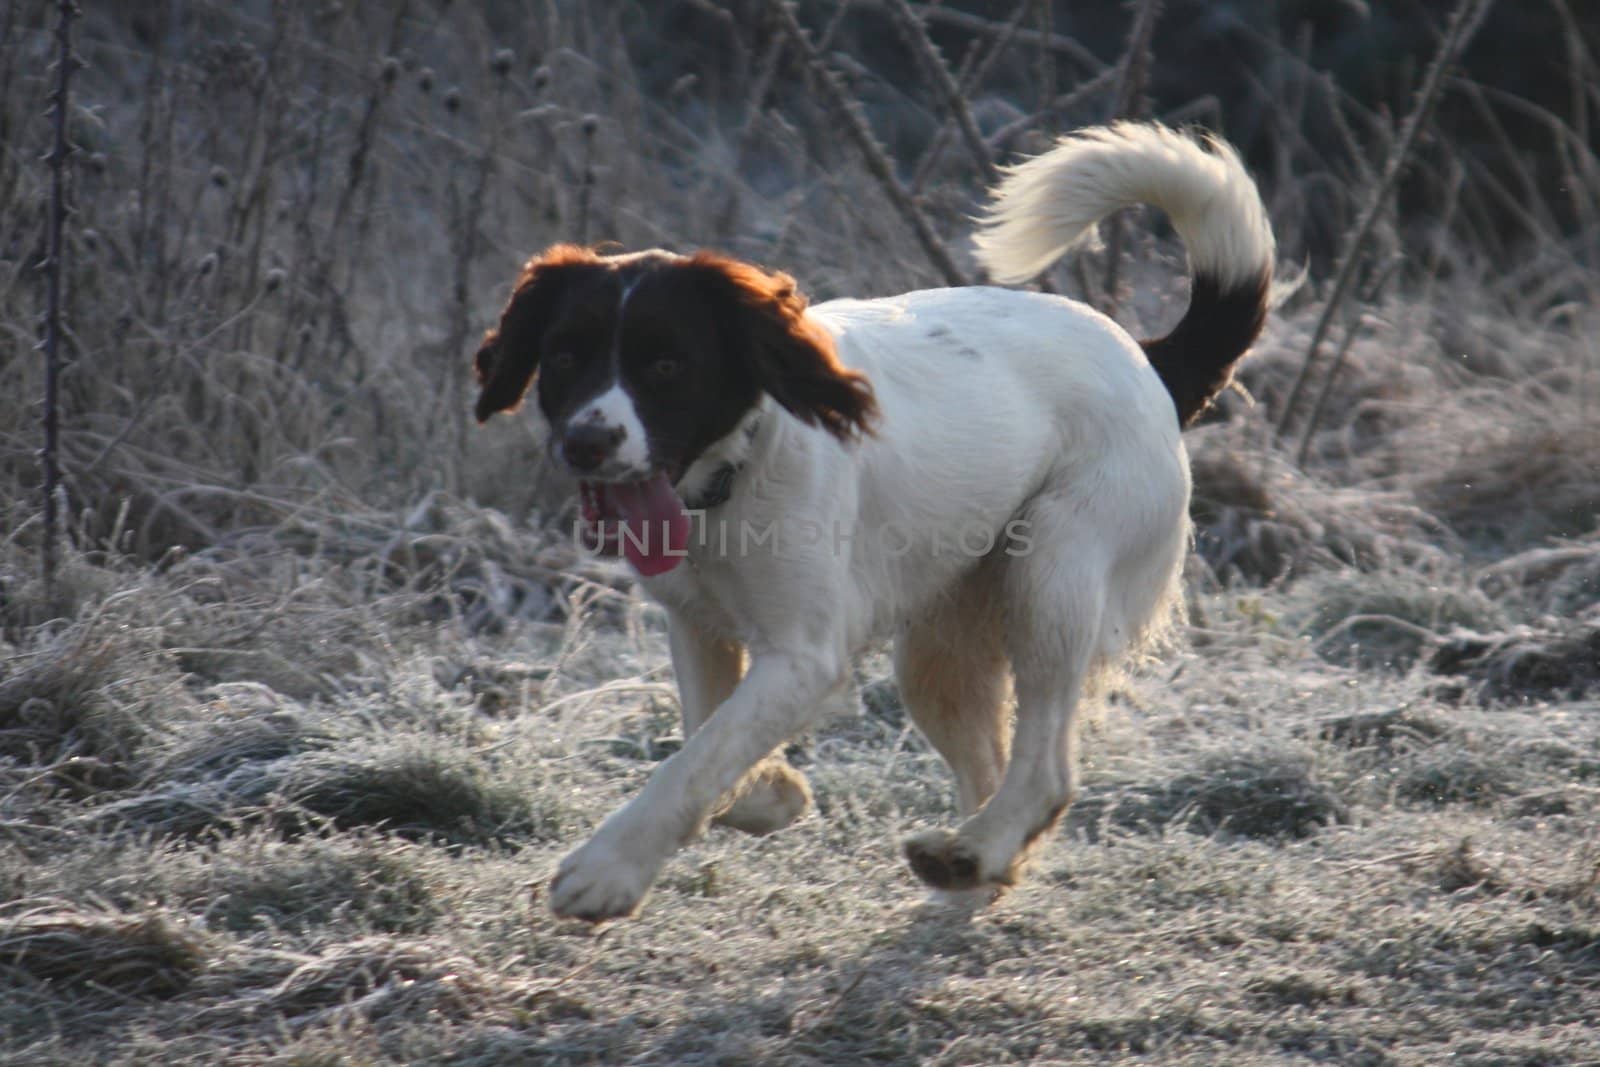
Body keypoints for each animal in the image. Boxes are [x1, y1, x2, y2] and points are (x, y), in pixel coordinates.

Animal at [470, 119, 1273, 921]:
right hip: (940, 652)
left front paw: (608, 868)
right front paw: (768, 792)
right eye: (564, 356)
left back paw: (979, 849)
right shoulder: (697, 624)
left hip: (1054, 572)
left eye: (667, 365)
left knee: (1046, 767)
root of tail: (1146, 358)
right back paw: (975, 866)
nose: (585, 442)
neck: (735, 473)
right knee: (994, 765)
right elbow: (708, 733)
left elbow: (694, 759)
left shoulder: (806, 655)